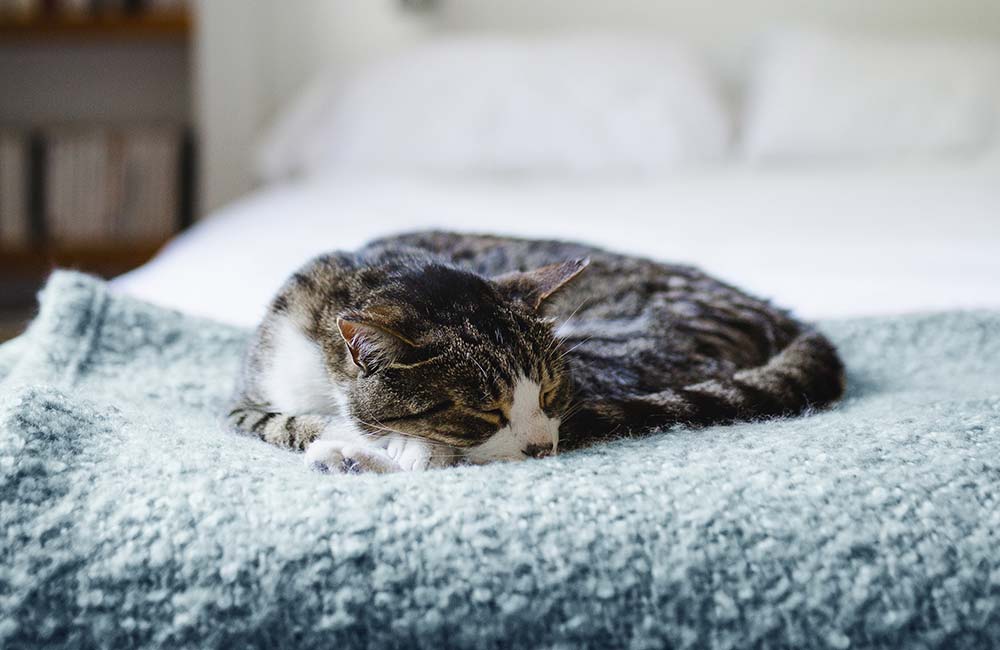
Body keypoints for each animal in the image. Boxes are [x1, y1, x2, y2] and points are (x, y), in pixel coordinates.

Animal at [227, 230, 844, 474]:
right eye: (482, 412)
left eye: (549, 393)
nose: (543, 448)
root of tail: (783, 315)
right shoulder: (246, 399)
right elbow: (282, 421)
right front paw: (360, 441)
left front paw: (392, 449)